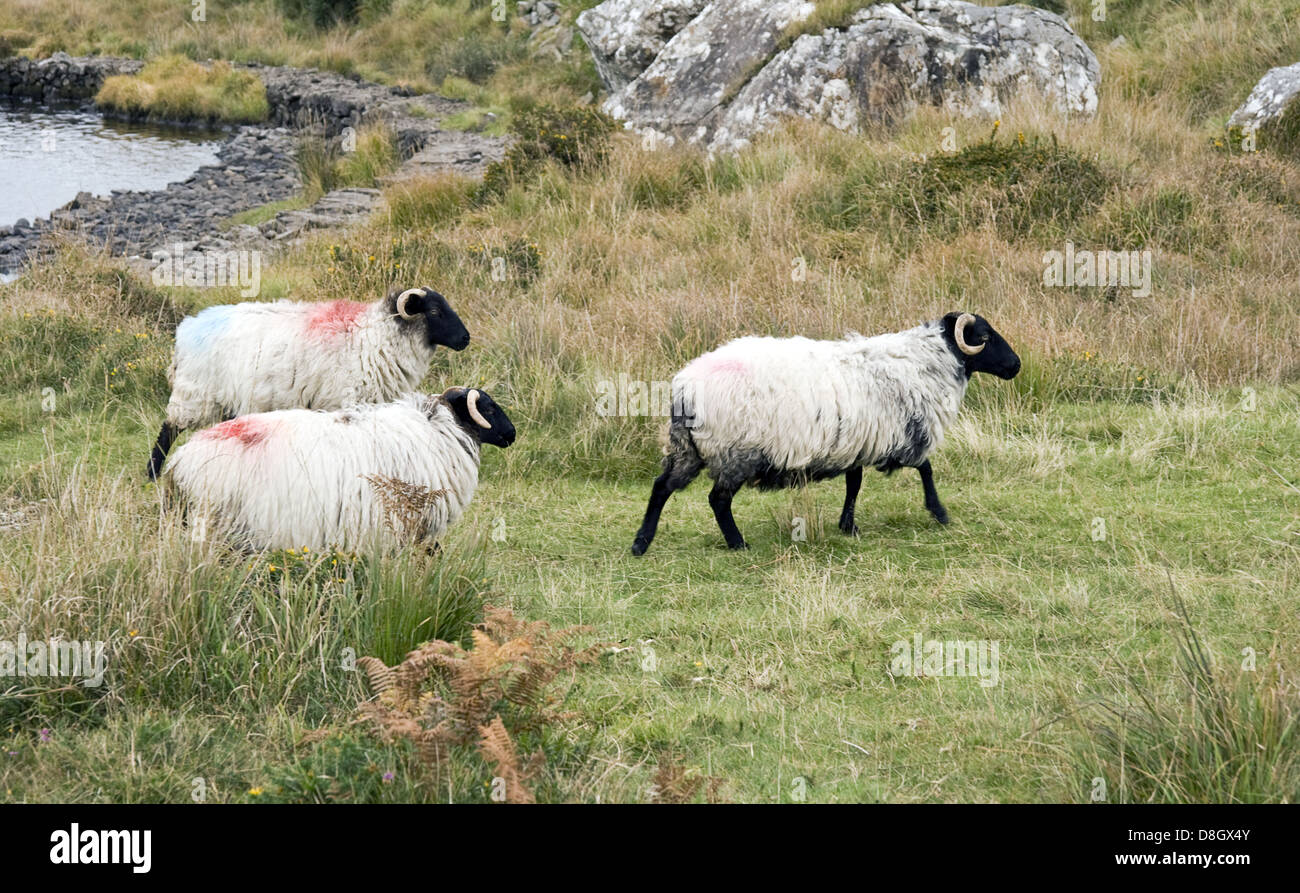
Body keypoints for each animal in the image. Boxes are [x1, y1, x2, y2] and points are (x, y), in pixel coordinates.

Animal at [146, 285, 467, 480]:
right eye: (435, 312)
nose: (466, 339)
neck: (374, 336)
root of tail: (187, 329)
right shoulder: (347, 402)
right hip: (194, 393)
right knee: (168, 430)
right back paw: (152, 474)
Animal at [626, 310, 1013, 556]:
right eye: (985, 336)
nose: (1016, 365)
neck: (928, 361)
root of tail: (685, 385)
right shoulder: (902, 434)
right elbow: (926, 469)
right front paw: (939, 512)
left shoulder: (859, 440)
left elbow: (854, 483)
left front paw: (848, 525)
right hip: (735, 449)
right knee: (718, 500)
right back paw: (738, 544)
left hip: (689, 448)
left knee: (661, 487)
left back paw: (641, 543)